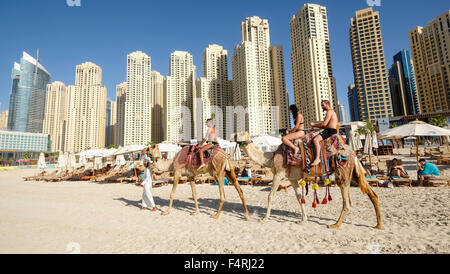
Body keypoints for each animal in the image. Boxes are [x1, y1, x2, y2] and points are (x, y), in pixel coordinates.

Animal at [232, 132, 384, 230]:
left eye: (240, 133)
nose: (232, 135)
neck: (270, 157)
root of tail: (353, 153)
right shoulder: (292, 179)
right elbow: (300, 198)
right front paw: (303, 219)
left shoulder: (279, 174)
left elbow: (270, 196)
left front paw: (264, 219)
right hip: (353, 173)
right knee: (373, 194)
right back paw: (379, 225)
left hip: (343, 171)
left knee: (347, 202)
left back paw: (335, 225)